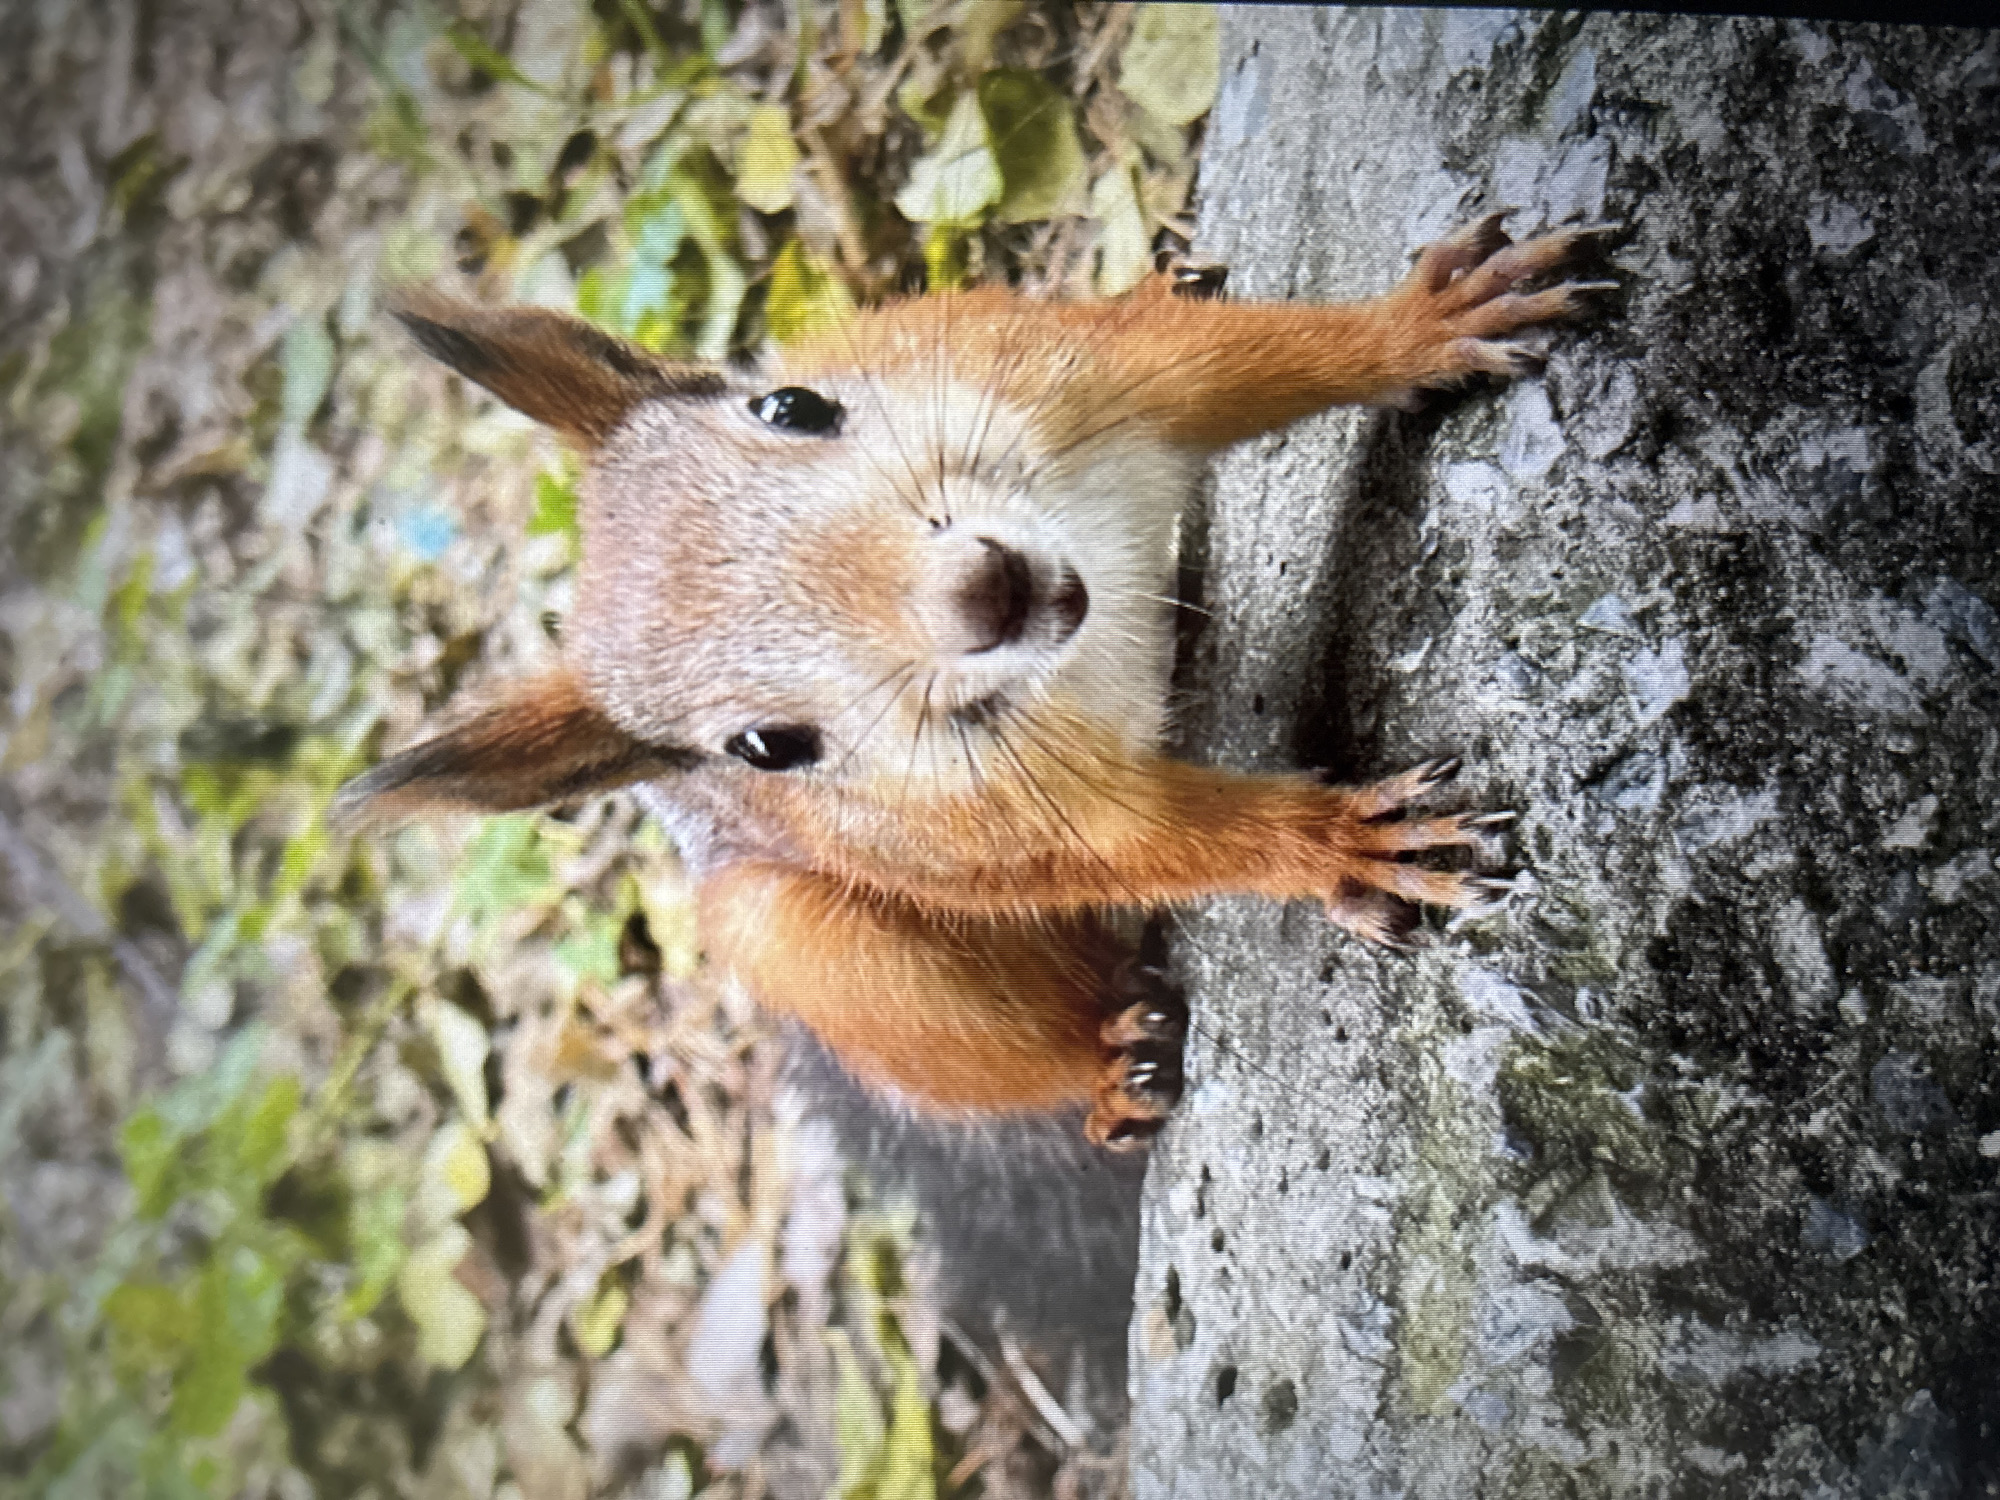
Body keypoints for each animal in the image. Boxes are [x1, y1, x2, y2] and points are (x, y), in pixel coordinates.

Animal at [337, 212, 1608, 1150]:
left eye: (792, 407)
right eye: (766, 748)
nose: (984, 593)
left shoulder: (1066, 383)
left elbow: (1244, 362)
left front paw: (1423, 324)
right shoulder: (1002, 826)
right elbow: (1151, 838)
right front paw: (1340, 846)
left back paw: (1159, 280)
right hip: (808, 937)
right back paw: (1112, 1070)